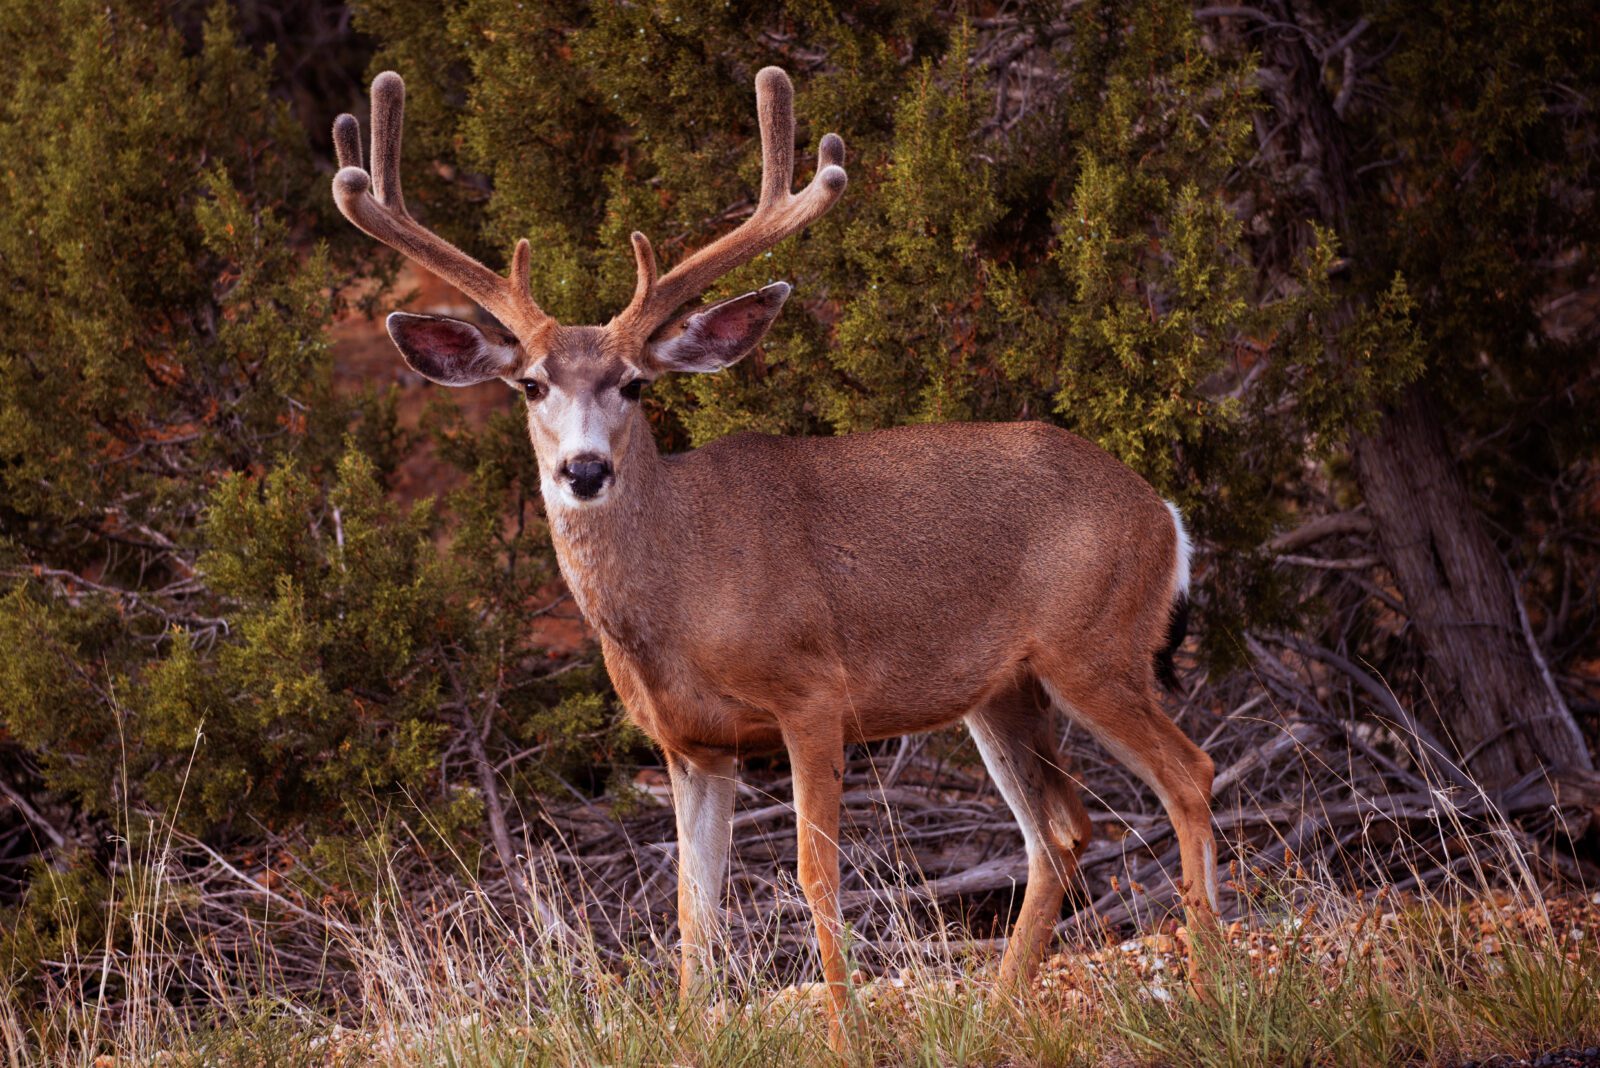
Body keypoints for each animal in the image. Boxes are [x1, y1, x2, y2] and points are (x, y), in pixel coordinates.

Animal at [331, 66, 1219, 1046]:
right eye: (529, 384)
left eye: (634, 384)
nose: (585, 469)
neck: (682, 593)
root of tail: (1164, 514)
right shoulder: (691, 744)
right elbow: (694, 905)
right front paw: (691, 1032)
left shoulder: (814, 692)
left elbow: (813, 873)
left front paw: (845, 1036)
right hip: (1001, 691)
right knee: (1059, 831)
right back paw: (995, 1015)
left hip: (1094, 645)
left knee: (1188, 775)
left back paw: (1213, 983)